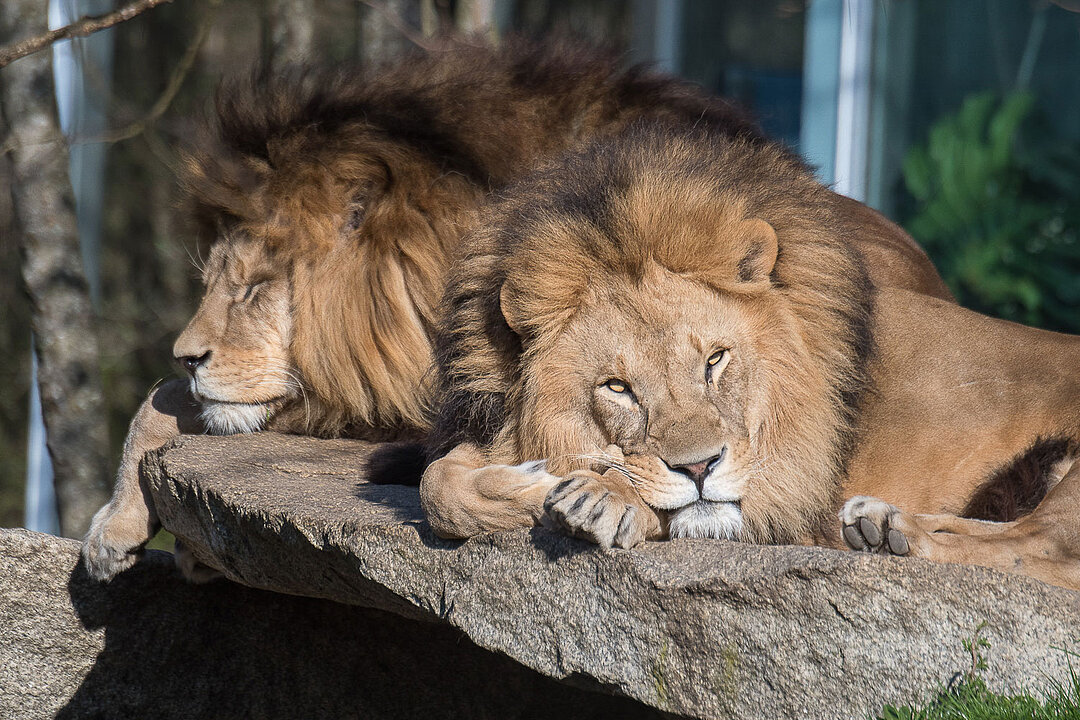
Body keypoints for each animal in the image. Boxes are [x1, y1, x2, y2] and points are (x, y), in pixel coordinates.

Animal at [419, 124, 1080, 595]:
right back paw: (880, 524)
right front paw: (541, 480)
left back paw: (895, 536)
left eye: (715, 361)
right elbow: (436, 484)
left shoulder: (791, 482)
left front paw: (602, 497)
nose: (698, 468)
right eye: (618, 387)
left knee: (1041, 550)